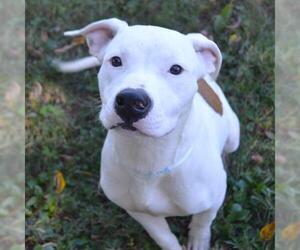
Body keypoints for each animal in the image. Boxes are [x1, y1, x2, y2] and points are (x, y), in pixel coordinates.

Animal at [56, 18, 239, 250]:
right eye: (116, 61)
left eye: (176, 69)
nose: (131, 101)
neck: (149, 157)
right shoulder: (137, 211)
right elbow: (163, 237)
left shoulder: (212, 201)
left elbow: (202, 223)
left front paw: (199, 241)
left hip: (234, 136)